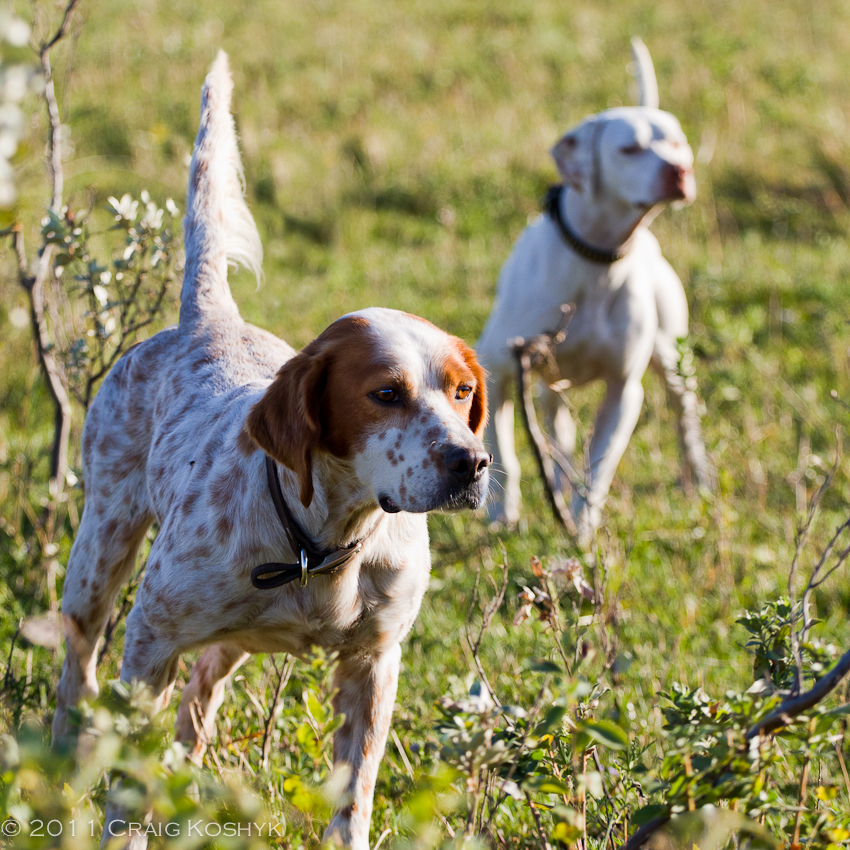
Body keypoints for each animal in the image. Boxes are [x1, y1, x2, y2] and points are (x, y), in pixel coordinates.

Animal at [53, 54, 486, 848]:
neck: (323, 542)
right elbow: (125, 782)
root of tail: (207, 317)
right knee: (77, 673)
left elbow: (354, 799)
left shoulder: (374, 665)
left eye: (463, 391)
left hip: (226, 644)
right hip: (99, 557)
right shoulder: (150, 639)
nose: (470, 464)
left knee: (196, 707)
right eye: (386, 393)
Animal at [480, 39, 712, 540]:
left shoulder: (624, 392)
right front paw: (501, 513)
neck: (597, 260)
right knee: (557, 429)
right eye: (630, 148)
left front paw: (582, 529)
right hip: (549, 384)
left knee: (684, 417)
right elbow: (504, 451)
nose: (679, 171)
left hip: (673, 360)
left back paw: (699, 477)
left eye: (678, 143)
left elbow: (599, 467)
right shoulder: (501, 371)